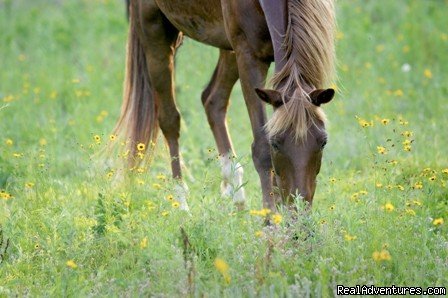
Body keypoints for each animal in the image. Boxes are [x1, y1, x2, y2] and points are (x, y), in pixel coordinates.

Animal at [114, 0, 336, 212]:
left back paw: (236, 195)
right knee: (170, 120)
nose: (299, 211)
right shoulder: (249, 56)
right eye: (275, 144)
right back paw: (182, 205)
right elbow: (261, 148)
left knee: (212, 100)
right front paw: (270, 218)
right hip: (154, 31)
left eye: (323, 142)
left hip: (228, 47)